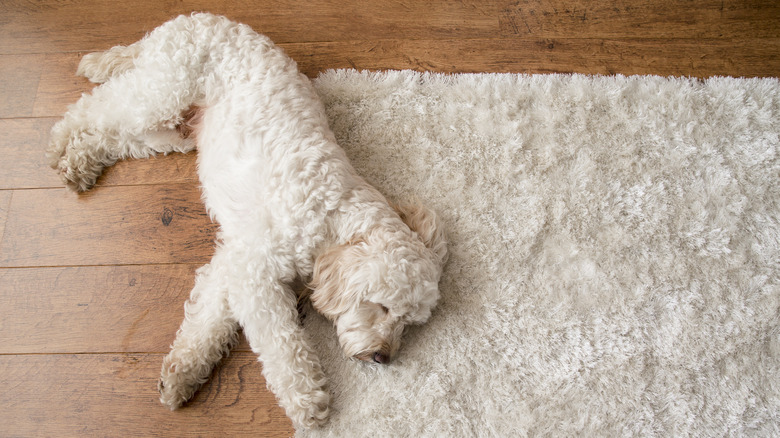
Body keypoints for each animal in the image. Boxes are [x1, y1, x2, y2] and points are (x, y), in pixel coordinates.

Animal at [48, 12, 448, 428]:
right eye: (382, 306)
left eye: (408, 323)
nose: (384, 357)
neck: (331, 216)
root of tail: (193, 18)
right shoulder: (256, 271)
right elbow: (282, 343)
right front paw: (307, 398)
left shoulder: (234, 261)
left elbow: (208, 319)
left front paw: (183, 373)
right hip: (158, 95)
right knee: (93, 107)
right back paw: (60, 143)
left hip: (170, 131)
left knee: (115, 136)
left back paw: (80, 162)